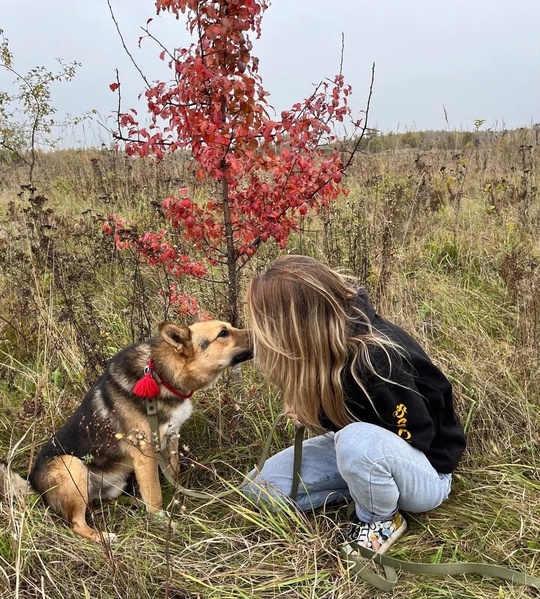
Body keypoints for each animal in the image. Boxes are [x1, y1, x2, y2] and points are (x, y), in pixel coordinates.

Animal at [2, 324, 252, 544]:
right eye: (223, 333)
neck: (161, 376)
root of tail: (32, 482)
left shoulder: (171, 440)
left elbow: (174, 476)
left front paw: (177, 502)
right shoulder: (144, 454)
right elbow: (154, 494)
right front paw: (163, 522)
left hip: (113, 484)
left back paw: (134, 504)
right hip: (71, 465)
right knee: (77, 523)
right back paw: (104, 537)